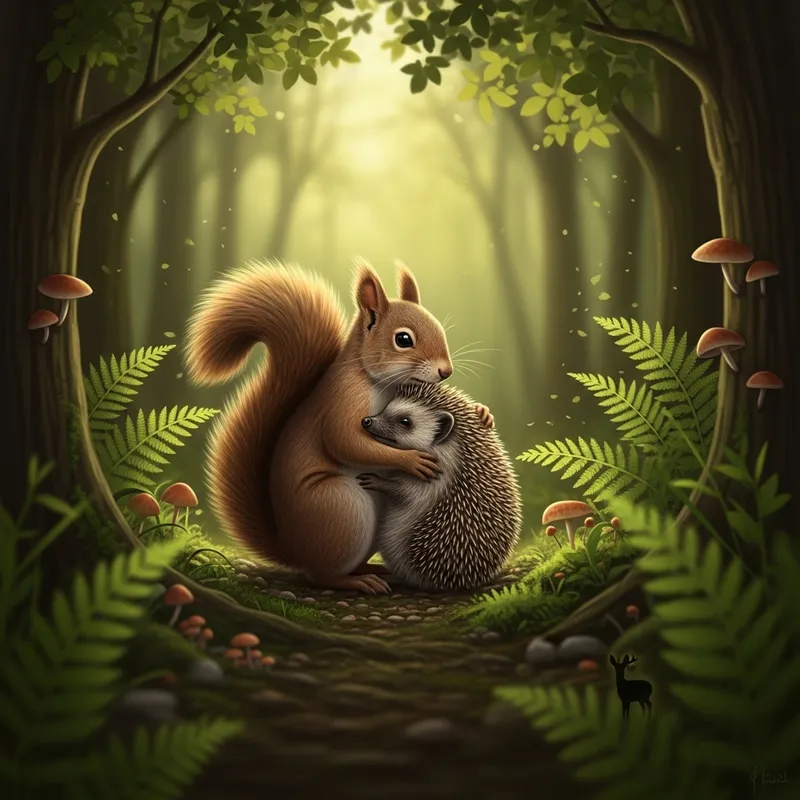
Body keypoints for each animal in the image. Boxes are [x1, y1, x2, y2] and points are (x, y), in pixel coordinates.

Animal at [184, 259, 492, 594]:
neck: (375, 380)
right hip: (342, 506)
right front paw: (412, 460)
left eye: (439, 328)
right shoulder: (342, 402)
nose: (446, 371)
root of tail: (293, 549)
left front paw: (483, 413)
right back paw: (357, 581)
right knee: (322, 576)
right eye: (403, 339)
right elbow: (344, 442)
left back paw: (373, 569)